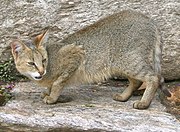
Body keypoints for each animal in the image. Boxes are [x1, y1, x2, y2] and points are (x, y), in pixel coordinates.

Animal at [10, 10, 171, 109]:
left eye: (43, 60)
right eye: (31, 63)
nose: (41, 71)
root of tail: (148, 19)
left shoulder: (76, 54)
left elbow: (57, 83)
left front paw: (52, 97)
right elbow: (52, 85)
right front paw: (49, 93)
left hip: (130, 62)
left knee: (153, 77)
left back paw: (144, 103)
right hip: (122, 64)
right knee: (136, 81)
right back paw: (124, 96)